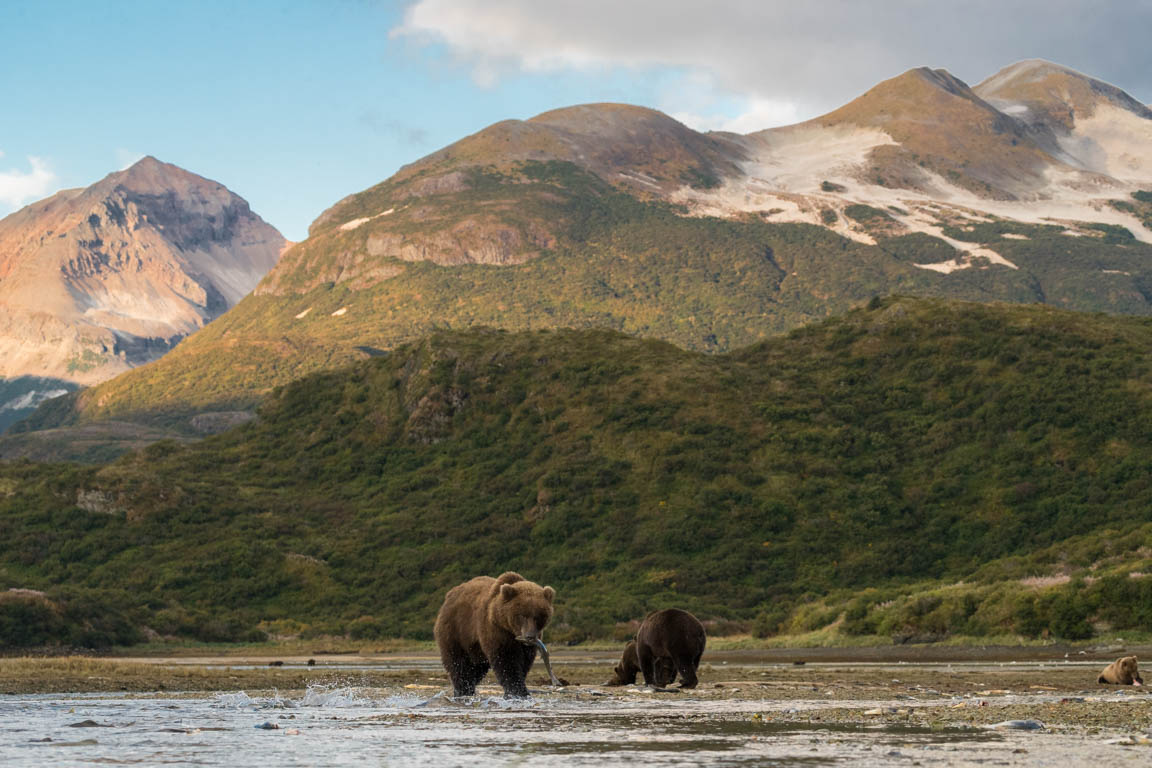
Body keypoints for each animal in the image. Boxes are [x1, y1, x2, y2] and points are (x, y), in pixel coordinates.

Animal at [433, 571, 555, 704]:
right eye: (522, 615)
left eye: (538, 616)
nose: (530, 636)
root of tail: (449, 596)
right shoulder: (496, 631)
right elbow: (506, 661)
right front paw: (518, 692)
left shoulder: (526, 646)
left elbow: (524, 663)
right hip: (455, 630)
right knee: (458, 664)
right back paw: (462, 691)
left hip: (475, 649)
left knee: (476, 668)